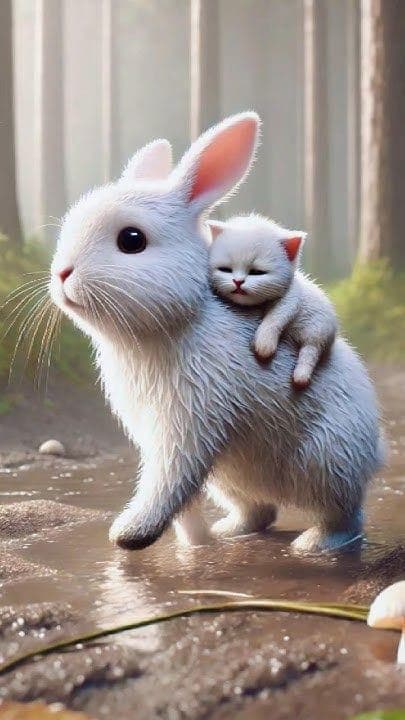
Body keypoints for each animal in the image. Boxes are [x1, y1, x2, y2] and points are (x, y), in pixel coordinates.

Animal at [208, 214, 338, 388]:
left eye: (257, 272)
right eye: (225, 269)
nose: (238, 282)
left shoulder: (291, 297)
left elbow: (276, 317)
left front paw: (264, 344)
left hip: (318, 330)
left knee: (310, 351)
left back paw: (301, 376)